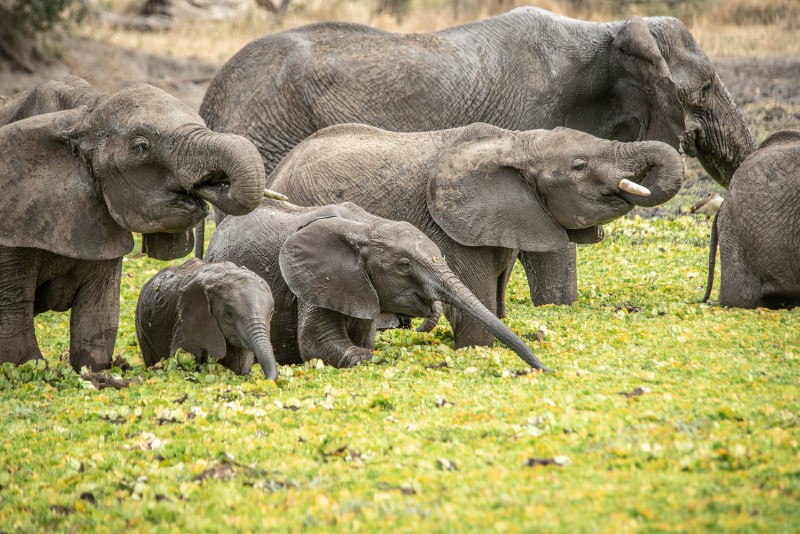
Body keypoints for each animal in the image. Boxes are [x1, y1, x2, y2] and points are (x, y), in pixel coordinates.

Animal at [0, 80, 266, 372]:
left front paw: (93, 372)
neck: (84, 115)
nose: (214, 183)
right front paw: (33, 369)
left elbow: (99, 311)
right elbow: (14, 313)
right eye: (140, 147)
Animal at [136, 259, 278, 381]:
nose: (265, 380)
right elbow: (184, 359)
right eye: (228, 314)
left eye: (271, 313)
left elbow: (240, 366)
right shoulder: (187, 320)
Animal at [197, 7, 756, 305]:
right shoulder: (530, 118)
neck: (606, 30)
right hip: (263, 132)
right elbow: (546, 239)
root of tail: (211, 95)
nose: (704, 298)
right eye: (706, 88)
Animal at [205, 198, 552, 371]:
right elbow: (316, 342)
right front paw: (384, 359)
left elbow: (363, 338)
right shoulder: (311, 280)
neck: (367, 226)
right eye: (404, 266)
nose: (545, 370)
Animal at [263, 123, 684, 350]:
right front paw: (479, 349)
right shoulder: (451, 229)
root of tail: (280, 168)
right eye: (579, 165)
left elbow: (495, 297)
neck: (515, 143)